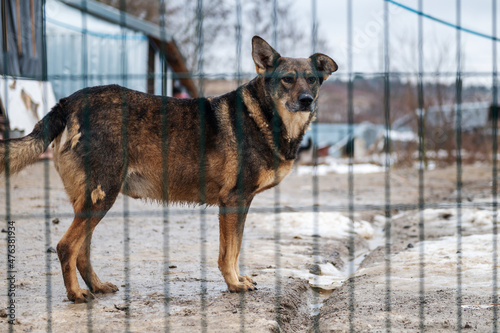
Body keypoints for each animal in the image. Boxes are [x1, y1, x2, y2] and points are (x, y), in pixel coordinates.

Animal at [0, 35, 338, 300]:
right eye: (287, 79)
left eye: (312, 79)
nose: (306, 100)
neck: (267, 118)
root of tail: (68, 101)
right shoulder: (233, 201)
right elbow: (228, 252)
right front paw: (233, 283)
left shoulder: (241, 203)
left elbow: (236, 248)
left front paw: (238, 278)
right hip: (101, 196)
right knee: (66, 247)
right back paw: (75, 294)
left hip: (92, 200)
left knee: (81, 251)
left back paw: (96, 286)